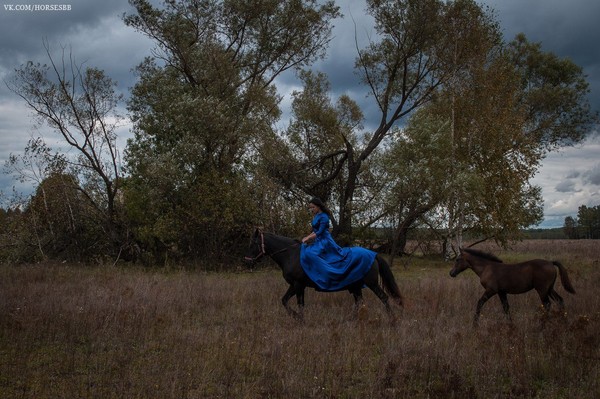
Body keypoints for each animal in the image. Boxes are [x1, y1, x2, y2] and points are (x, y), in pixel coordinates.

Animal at [244, 230, 404, 320]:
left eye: (253, 244)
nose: (247, 262)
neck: (291, 255)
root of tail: (374, 254)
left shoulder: (297, 284)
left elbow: (295, 303)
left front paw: (298, 318)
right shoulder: (298, 286)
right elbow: (289, 301)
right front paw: (298, 318)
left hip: (372, 284)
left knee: (384, 298)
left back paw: (392, 320)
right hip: (356, 286)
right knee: (359, 302)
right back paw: (351, 320)